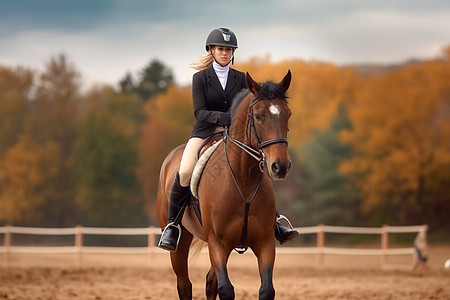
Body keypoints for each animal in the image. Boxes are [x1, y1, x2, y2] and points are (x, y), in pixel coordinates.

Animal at [157, 71, 292, 300]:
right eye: (258, 116)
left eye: (287, 114)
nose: (280, 166)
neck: (242, 178)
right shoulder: (218, 244)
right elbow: (226, 290)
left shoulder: (265, 243)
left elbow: (266, 290)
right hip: (181, 242)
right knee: (184, 284)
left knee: (210, 282)